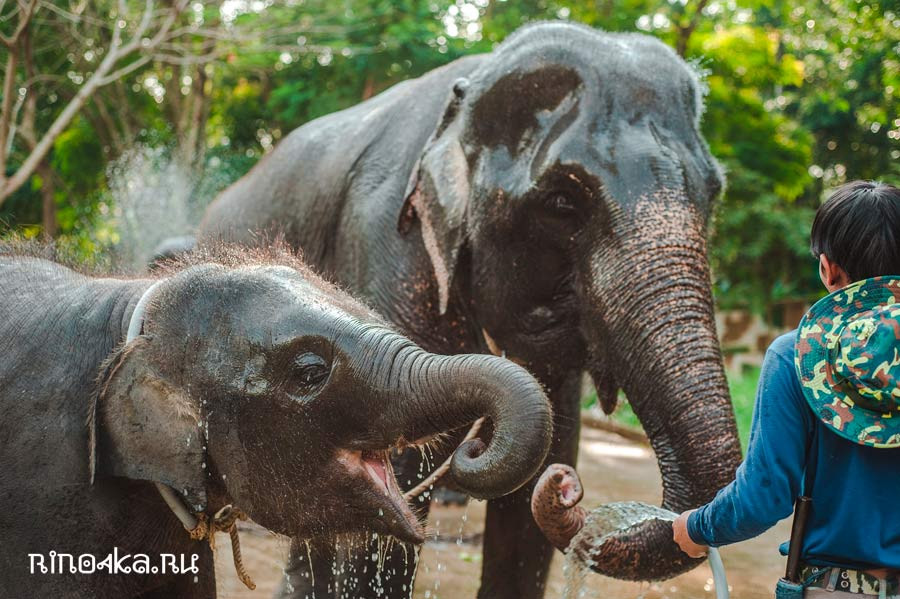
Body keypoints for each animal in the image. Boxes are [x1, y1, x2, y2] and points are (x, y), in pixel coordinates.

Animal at [200, 21, 740, 596]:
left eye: (713, 193)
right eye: (563, 203)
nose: (567, 490)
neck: (470, 87)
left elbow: (532, 502)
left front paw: (543, 475)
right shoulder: (386, 244)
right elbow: (379, 506)